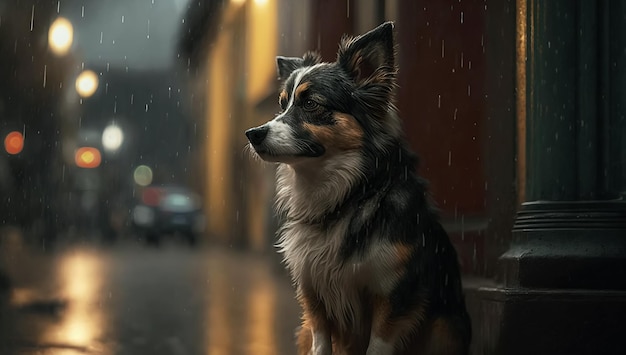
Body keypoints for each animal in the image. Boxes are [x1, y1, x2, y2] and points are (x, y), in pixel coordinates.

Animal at [244, 22, 468, 355]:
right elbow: (321, 345)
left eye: (310, 103)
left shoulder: (393, 297)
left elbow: (377, 346)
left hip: (445, 329)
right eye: (282, 105)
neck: (347, 196)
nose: (252, 134)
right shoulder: (314, 296)